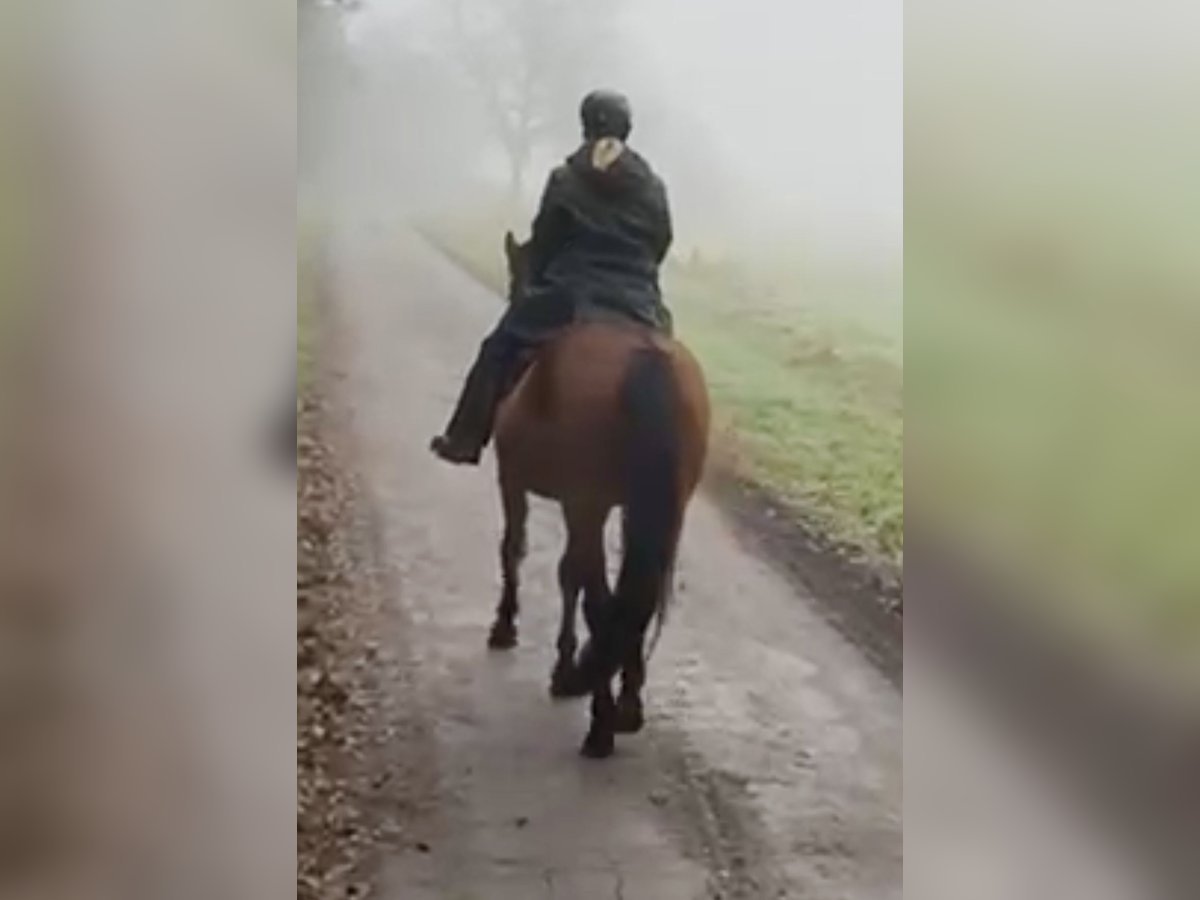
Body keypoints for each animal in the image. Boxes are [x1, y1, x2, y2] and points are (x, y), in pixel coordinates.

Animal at [484, 232, 710, 763]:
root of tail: (647, 359)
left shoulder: (518, 484)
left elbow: (522, 552)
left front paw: (510, 629)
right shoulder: (609, 506)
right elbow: (573, 575)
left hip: (584, 503)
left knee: (601, 597)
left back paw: (600, 723)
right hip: (660, 509)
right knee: (634, 594)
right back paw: (625, 703)